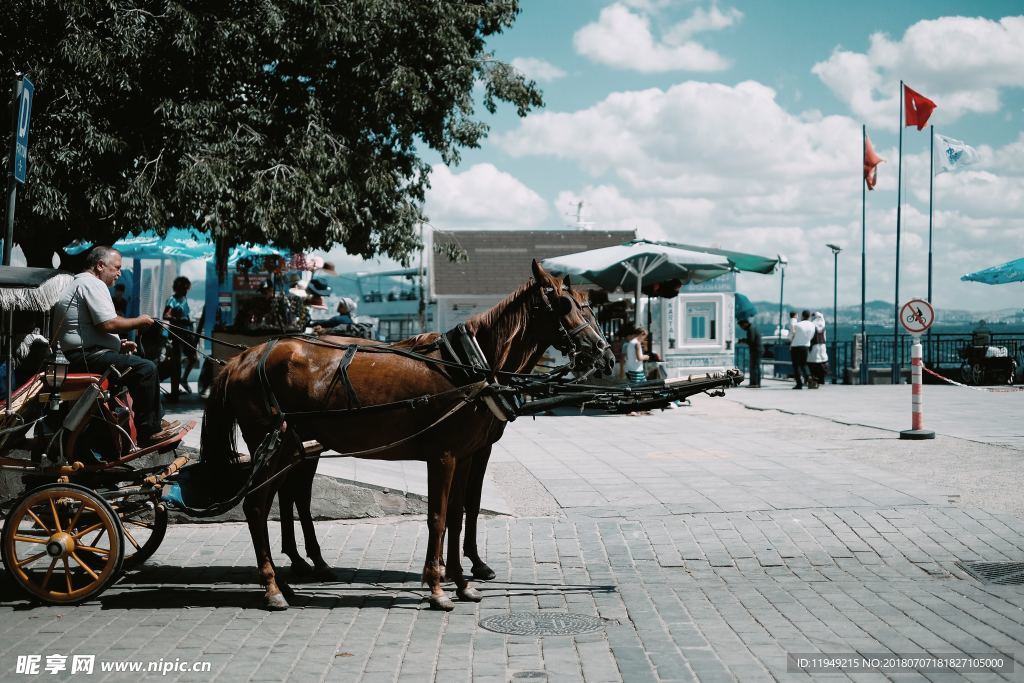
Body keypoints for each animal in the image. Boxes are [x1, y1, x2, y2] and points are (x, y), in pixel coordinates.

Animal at [202, 262, 610, 610]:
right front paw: (438, 587)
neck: (469, 366)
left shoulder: (466, 454)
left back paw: (294, 574)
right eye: (564, 304)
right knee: (258, 507)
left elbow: (459, 513)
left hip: (291, 447)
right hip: (272, 446)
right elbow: (438, 517)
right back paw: (274, 586)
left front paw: (462, 581)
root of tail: (244, 358)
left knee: (286, 498)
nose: (602, 353)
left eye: (591, 307)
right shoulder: (444, 456)